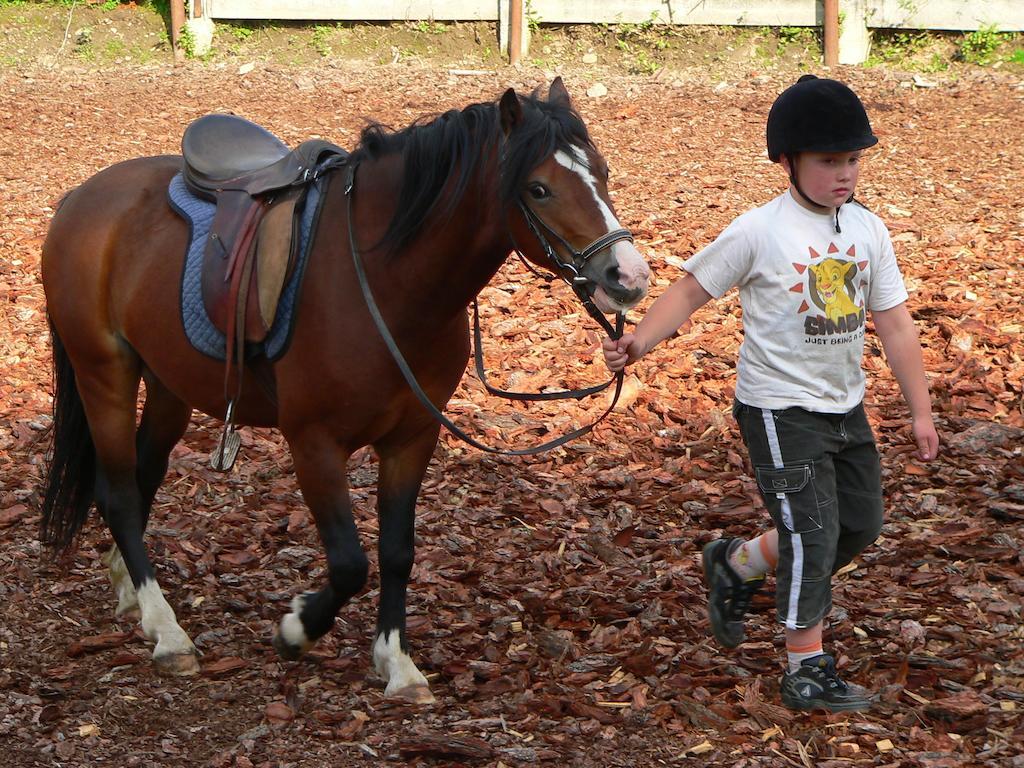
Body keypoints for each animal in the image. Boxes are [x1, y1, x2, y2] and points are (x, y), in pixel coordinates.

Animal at [41, 78, 647, 704]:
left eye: (602, 172)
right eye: (539, 188)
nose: (628, 276)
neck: (385, 281)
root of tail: (82, 197)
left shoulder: (412, 438)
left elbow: (397, 551)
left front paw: (397, 663)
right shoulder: (314, 444)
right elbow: (351, 562)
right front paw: (297, 628)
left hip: (168, 386)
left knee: (142, 477)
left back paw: (132, 590)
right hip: (104, 374)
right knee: (118, 493)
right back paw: (167, 631)